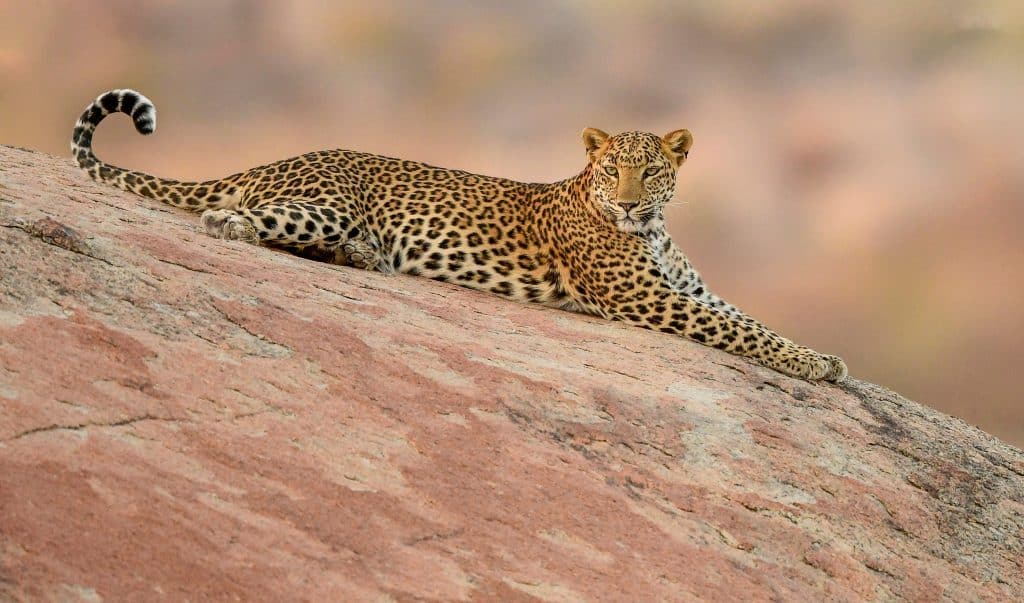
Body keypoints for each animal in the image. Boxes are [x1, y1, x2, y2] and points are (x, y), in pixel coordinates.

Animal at [70, 88, 847, 382]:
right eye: (613, 171)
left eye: (652, 171)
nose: (629, 205)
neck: (652, 230)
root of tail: (272, 159)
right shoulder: (644, 298)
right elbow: (743, 332)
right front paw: (811, 364)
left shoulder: (686, 288)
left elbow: (747, 317)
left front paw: (828, 359)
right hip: (322, 204)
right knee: (230, 220)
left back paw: (367, 256)